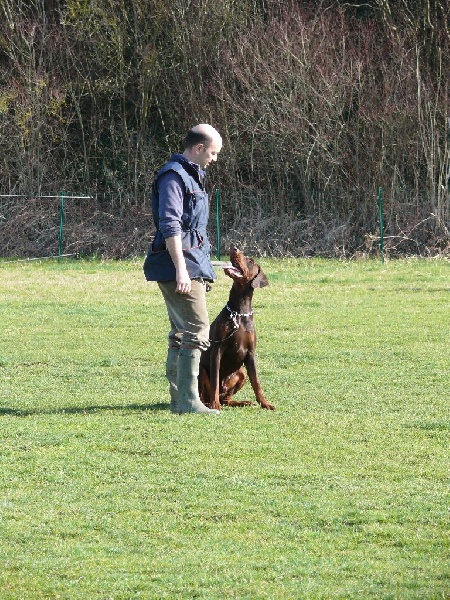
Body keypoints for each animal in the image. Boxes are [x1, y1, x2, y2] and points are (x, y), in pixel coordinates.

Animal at [200, 246, 274, 410]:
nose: (234, 249)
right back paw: (210, 404)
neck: (239, 312)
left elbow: (256, 383)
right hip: (201, 370)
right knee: (204, 396)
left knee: (227, 399)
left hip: (241, 373)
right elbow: (214, 381)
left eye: (251, 261)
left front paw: (265, 403)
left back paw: (243, 402)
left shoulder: (251, 353)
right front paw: (215, 405)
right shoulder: (217, 349)